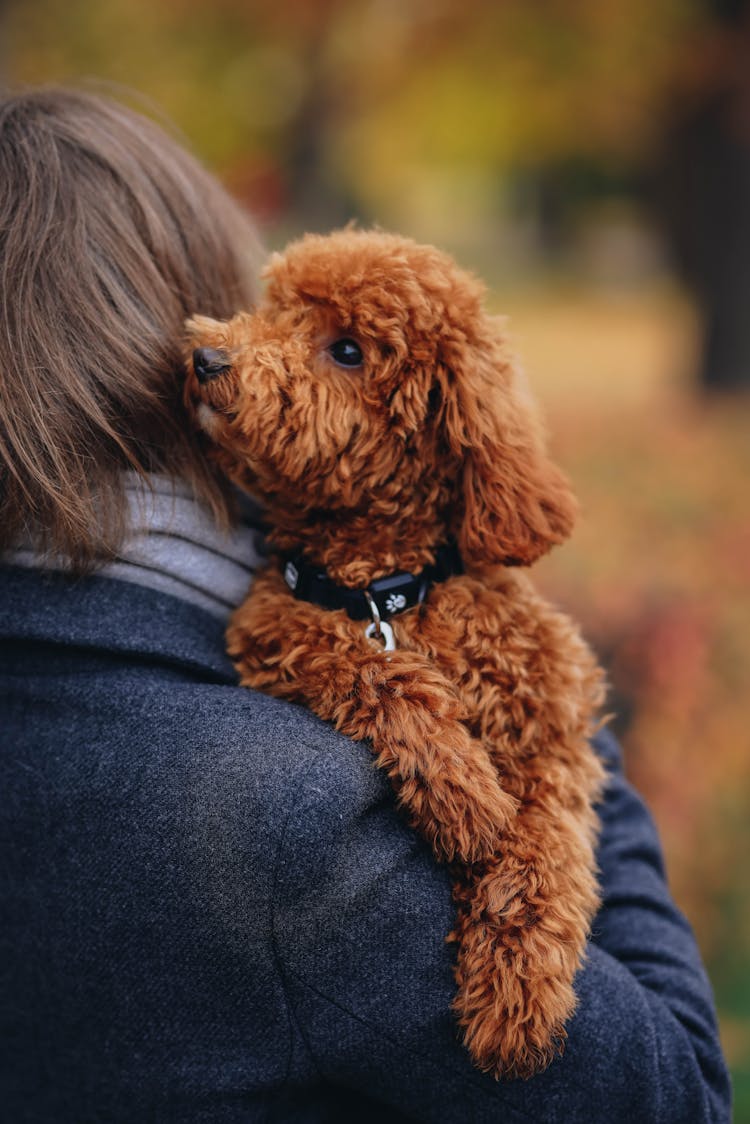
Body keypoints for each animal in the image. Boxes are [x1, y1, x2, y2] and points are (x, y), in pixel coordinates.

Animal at [184, 228, 607, 1079]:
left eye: (347, 350)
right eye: (273, 307)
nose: (207, 358)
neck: (388, 589)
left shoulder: (553, 731)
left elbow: (546, 848)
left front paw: (517, 997)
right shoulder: (275, 627)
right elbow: (370, 669)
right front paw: (464, 795)